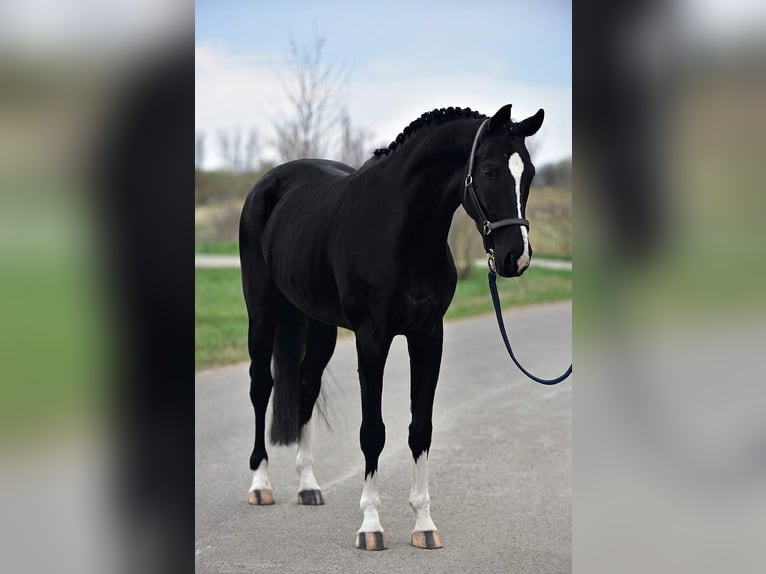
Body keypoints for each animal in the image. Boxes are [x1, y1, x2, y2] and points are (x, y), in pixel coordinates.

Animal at [239, 103, 545, 550]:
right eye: (488, 171)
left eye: (530, 172)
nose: (515, 258)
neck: (401, 232)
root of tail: (267, 184)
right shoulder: (372, 339)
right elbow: (373, 432)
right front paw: (371, 526)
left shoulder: (428, 336)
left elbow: (421, 429)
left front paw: (424, 525)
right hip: (262, 312)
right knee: (262, 386)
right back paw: (260, 484)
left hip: (319, 324)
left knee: (306, 386)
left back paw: (308, 486)